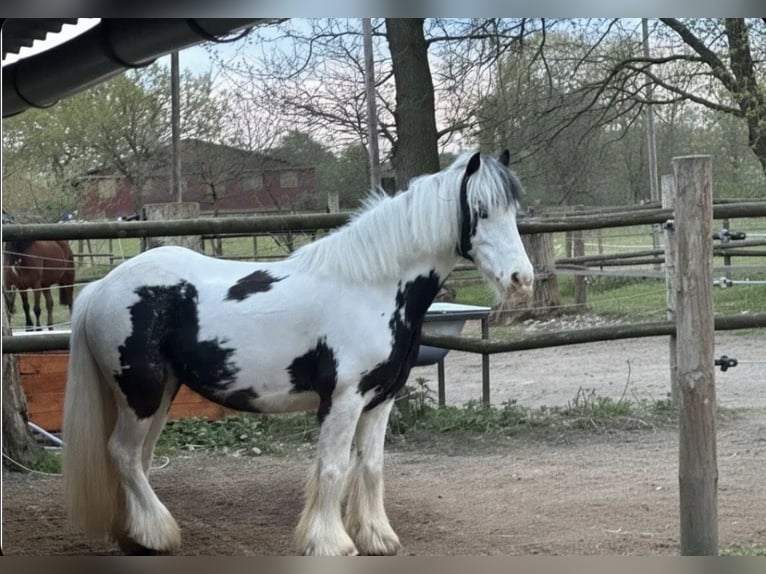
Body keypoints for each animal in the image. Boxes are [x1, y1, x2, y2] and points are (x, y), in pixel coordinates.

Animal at [61, 150, 534, 556]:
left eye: (513, 211)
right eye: (481, 211)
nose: (521, 278)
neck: (371, 288)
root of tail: (103, 286)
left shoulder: (380, 400)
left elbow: (371, 466)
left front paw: (377, 536)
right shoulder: (343, 401)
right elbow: (333, 468)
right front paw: (330, 542)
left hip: (160, 393)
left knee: (138, 459)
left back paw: (138, 534)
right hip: (139, 393)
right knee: (123, 454)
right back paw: (158, 534)